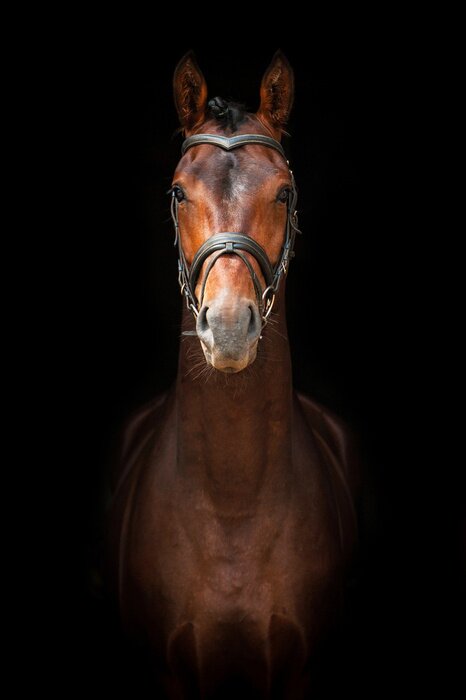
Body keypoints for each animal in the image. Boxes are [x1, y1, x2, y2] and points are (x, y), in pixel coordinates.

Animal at [105, 50, 359, 699]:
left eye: (285, 193)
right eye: (177, 192)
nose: (227, 328)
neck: (232, 510)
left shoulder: (298, 673)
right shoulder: (170, 673)